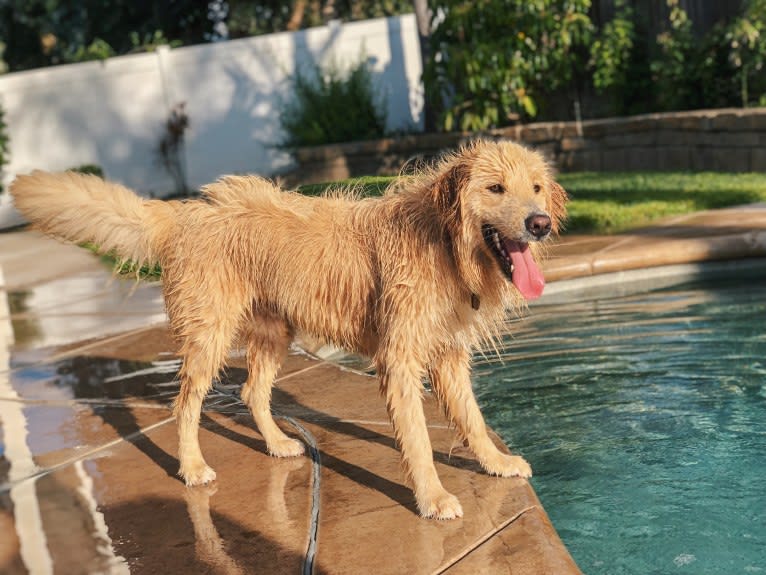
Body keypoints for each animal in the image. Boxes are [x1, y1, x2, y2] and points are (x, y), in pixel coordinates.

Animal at [9, 141, 568, 520]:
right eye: (495, 188)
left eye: (535, 187)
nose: (539, 223)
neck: (445, 243)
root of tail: (185, 214)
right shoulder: (400, 359)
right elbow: (417, 439)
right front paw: (432, 497)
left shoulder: (448, 355)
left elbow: (473, 419)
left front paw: (496, 462)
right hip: (209, 335)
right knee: (186, 405)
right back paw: (192, 467)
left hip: (272, 332)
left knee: (253, 392)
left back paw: (278, 444)